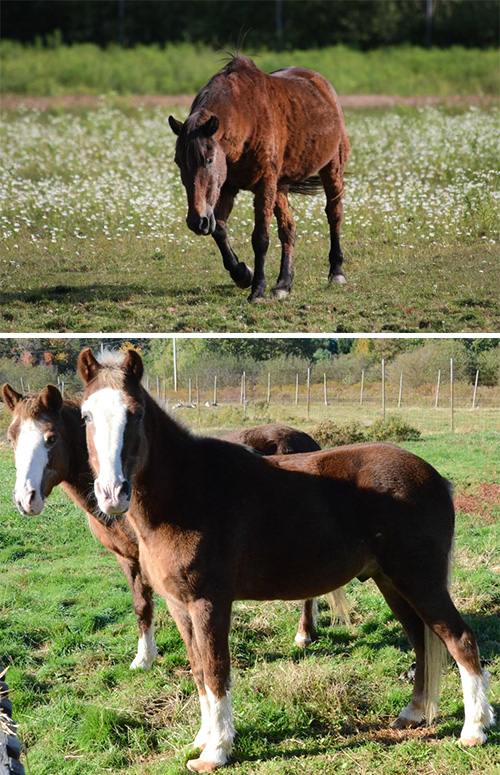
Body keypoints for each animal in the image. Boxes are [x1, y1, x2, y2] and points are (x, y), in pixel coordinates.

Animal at [0, 384, 324, 664]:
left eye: (51, 438)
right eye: (11, 438)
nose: (25, 499)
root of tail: (306, 440)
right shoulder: (129, 558)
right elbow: (141, 606)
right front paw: (145, 658)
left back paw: (304, 633)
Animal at [77, 348, 492, 772]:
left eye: (136, 413)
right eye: (86, 416)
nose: (112, 493)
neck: (186, 494)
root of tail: (435, 478)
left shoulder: (209, 602)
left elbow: (216, 671)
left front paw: (216, 751)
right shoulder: (180, 605)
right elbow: (198, 671)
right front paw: (201, 740)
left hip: (420, 581)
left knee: (460, 639)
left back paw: (474, 731)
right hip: (392, 583)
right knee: (422, 641)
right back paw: (413, 714)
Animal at [170, 54, 350, 302]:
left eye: (208, 159)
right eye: (178, 162)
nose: (197, 221)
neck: (246, 118)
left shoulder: (264, 184)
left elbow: (260, 238)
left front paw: (257, 289)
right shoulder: (228, 187)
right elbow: (219, 229)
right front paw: (242, 274)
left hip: (331, 169)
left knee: (334, 215)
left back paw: (336, 271)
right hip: (280, 186)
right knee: (288, 229)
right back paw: (283, 283)